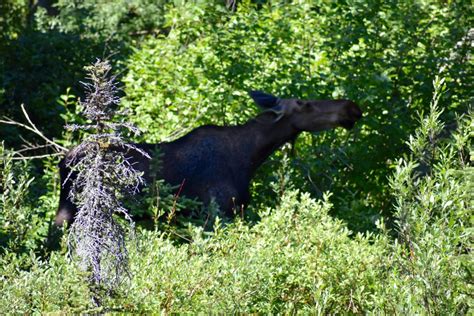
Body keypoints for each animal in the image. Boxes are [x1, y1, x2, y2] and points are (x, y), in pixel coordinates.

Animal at [57, 90, 364, 226]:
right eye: (305, 104)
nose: (351, 108)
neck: (250, 157)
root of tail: (63, 160)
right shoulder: (217, 210)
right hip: (71, 208)